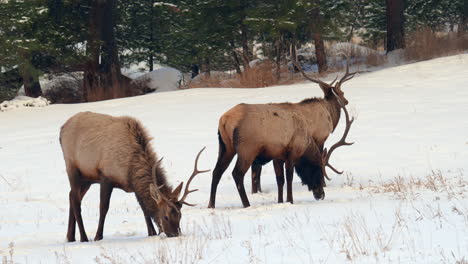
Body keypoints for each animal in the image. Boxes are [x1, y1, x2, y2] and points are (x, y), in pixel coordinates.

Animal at [59, 111, 208, 241]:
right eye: (165, 216)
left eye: (180, 215)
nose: (175, 234)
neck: (130, 169)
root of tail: (61, 130)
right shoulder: (106, 177)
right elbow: (103, 208)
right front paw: (97, 237)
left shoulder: (135, 186)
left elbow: (144, 208)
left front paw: (152, 232)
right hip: (72, 168)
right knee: (75, 200)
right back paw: (83, 238)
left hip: (87, 178)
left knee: (71, 195)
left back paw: (70, 237)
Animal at [207, 62, 354, 208]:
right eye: (317, 168)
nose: (321, 194)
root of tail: (225, 120)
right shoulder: (295, 150)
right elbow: (289, 176)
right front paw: (290, 200)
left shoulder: (277, 156)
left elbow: (280, 179)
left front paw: (280, 200)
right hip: (247, 149)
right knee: (237, 174)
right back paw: (247, 204)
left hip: (226, 147)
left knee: (216, 171)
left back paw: (211, 204)